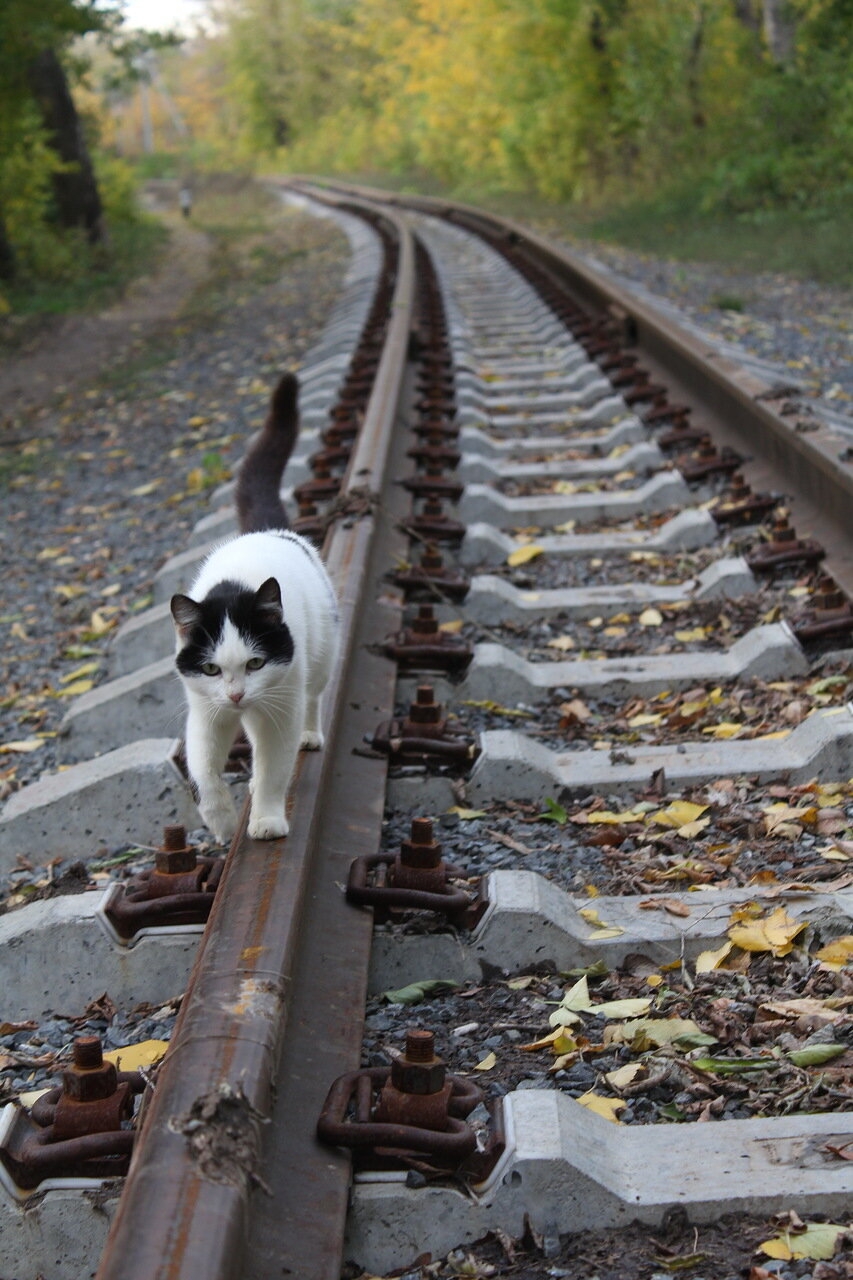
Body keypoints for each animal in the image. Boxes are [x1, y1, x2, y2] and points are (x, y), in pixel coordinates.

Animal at [167, 373, 338, 844]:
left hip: (317, 661)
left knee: (313, 698)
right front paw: (223, 822)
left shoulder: (279, 707)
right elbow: (204, 772)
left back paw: (310, 736)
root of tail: (265, 531)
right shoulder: (204, 711)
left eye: (256, 662)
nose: (237, 695)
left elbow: (274, 768)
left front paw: (265, 820)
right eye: (211, 669)